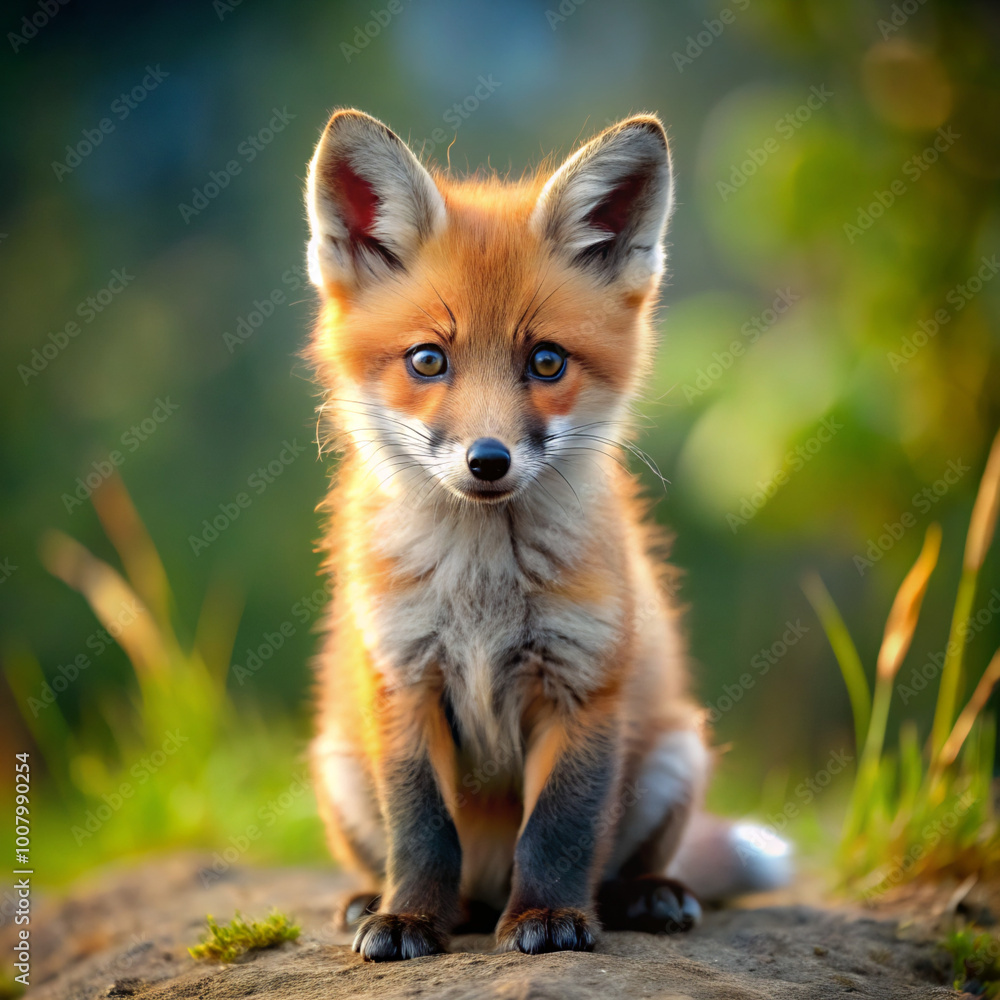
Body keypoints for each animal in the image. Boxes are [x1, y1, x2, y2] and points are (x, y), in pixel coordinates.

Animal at [304, 109, 789, 962]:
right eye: (427, 360)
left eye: (547, 361)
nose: (488, 460)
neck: (481, 594)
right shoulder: (403, 678)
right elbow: (422, 830)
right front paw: (409, 919)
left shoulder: (583, 679)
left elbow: (559, 827)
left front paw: (549, 917)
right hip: (339, 764)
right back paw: (382, 901)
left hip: (676, 750)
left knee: (626, 863)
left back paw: (646, 895)